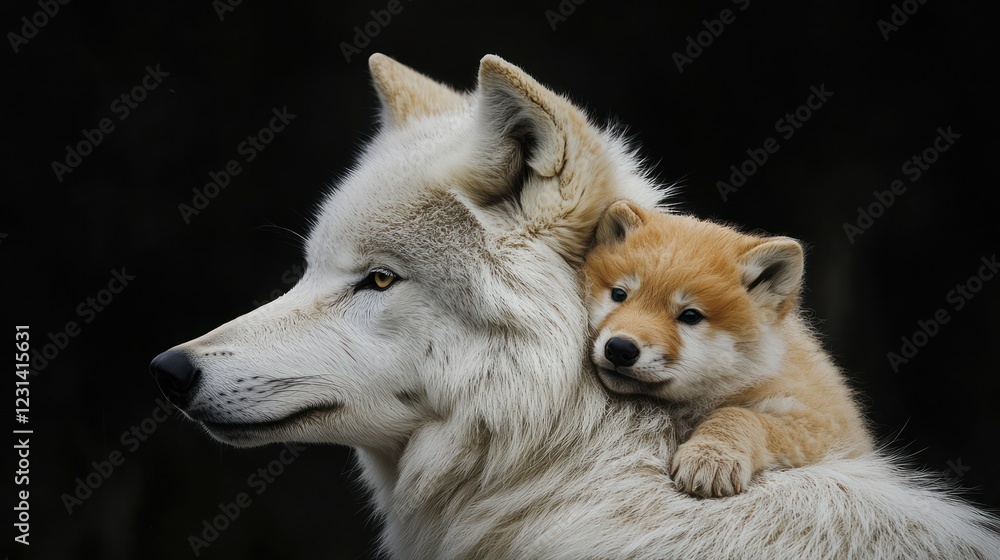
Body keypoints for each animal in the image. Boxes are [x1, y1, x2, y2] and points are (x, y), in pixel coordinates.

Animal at [586, 203, 873, 498]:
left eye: (690, 316)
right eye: (619, 295)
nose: (620, 348)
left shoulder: (818, 423)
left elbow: (740, 415)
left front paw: (711, 456)